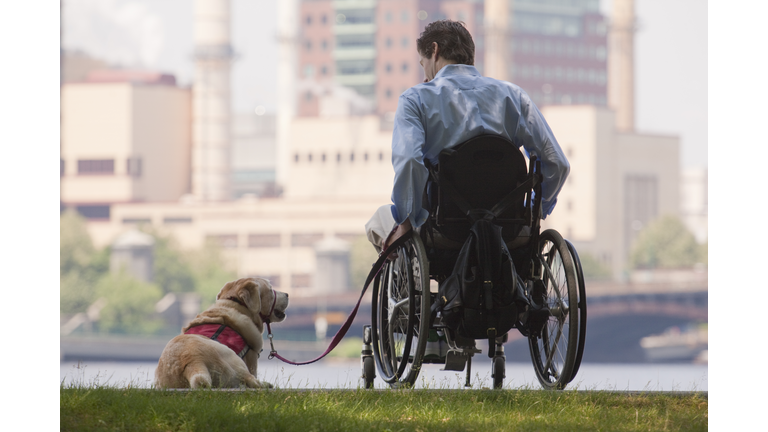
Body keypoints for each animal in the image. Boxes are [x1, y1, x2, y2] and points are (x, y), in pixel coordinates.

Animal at [154, 278, 290, 390]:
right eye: (271, 290)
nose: (287, 294)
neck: (235, 305)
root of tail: (192, 363)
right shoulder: (252, 356)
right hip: (234, 359)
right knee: (251, 380)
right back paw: (266, 385)